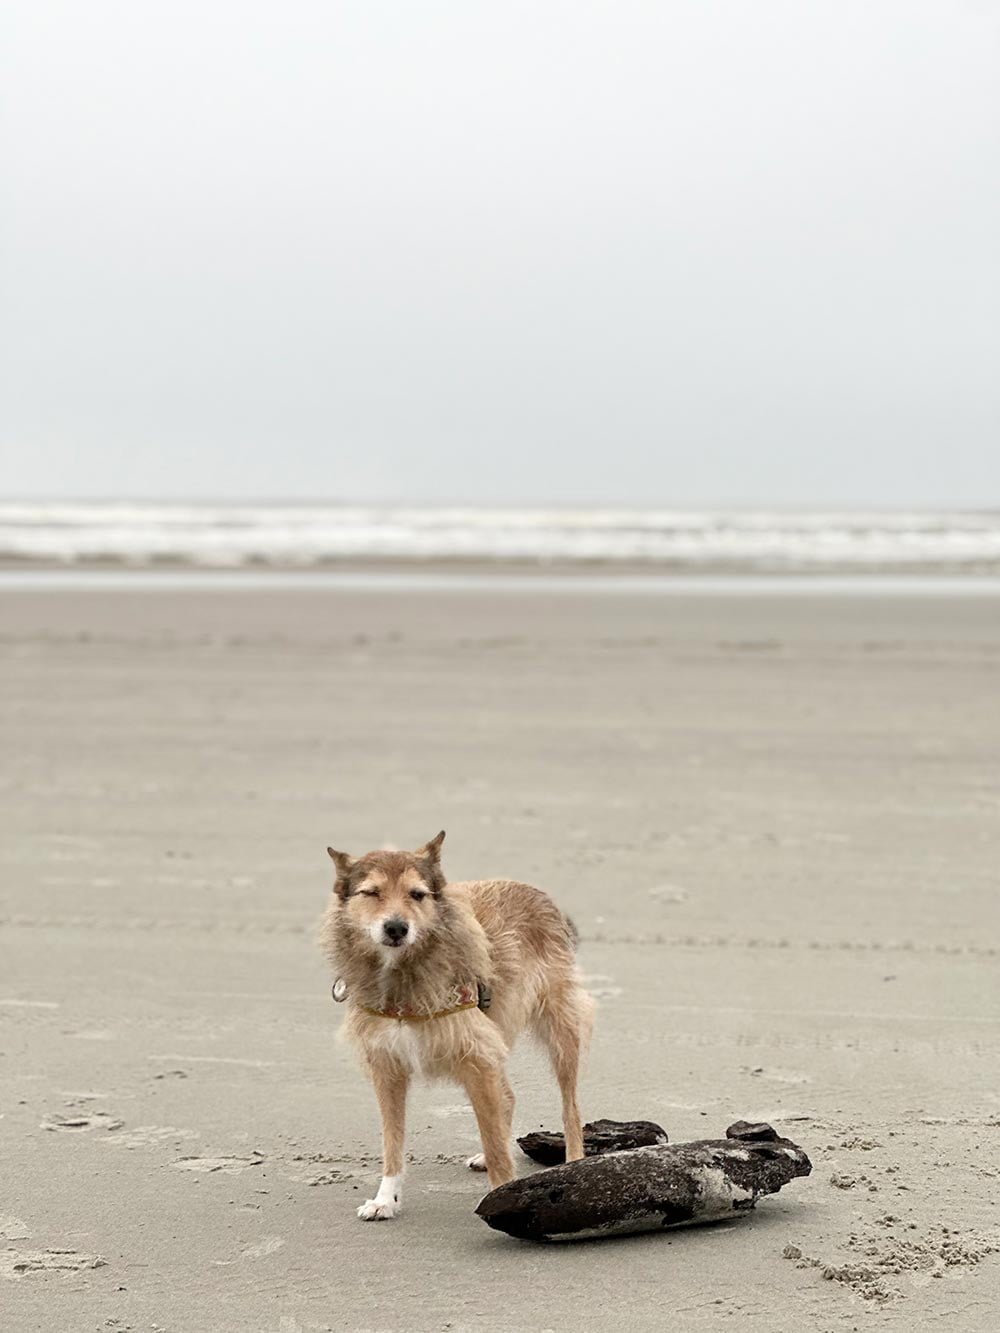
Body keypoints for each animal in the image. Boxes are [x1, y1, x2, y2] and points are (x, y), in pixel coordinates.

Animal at [320, 831, 594, 1220]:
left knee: (570, 1109)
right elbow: (392, 1142)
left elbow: (497, 1146)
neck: (404, 975)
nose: (396, 928)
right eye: (371, 892)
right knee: (508, 1096)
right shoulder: (388, 1068)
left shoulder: (476, 1057)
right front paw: (385, 1200)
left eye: (417, 894)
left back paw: (572, 1165)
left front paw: (502, 1198)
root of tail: (535, 891)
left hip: (560, 1030)